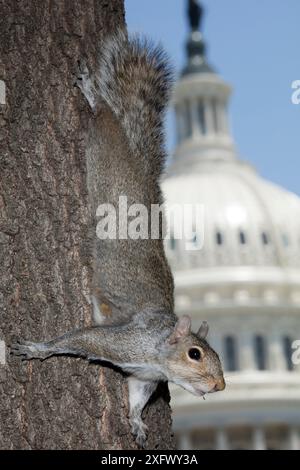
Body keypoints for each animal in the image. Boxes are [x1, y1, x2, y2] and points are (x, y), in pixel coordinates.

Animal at [10, 28, 225, 448]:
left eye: (218, 358)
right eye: (194, 354)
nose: (221, 386)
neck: (157, 353)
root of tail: (141, 173)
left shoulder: (143, 378)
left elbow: (138, 397)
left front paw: (137, 422)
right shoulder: (121, 342)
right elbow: (79, 340)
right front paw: (39, 348)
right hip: (106, 153)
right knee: (105, 117)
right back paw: (93, 92)